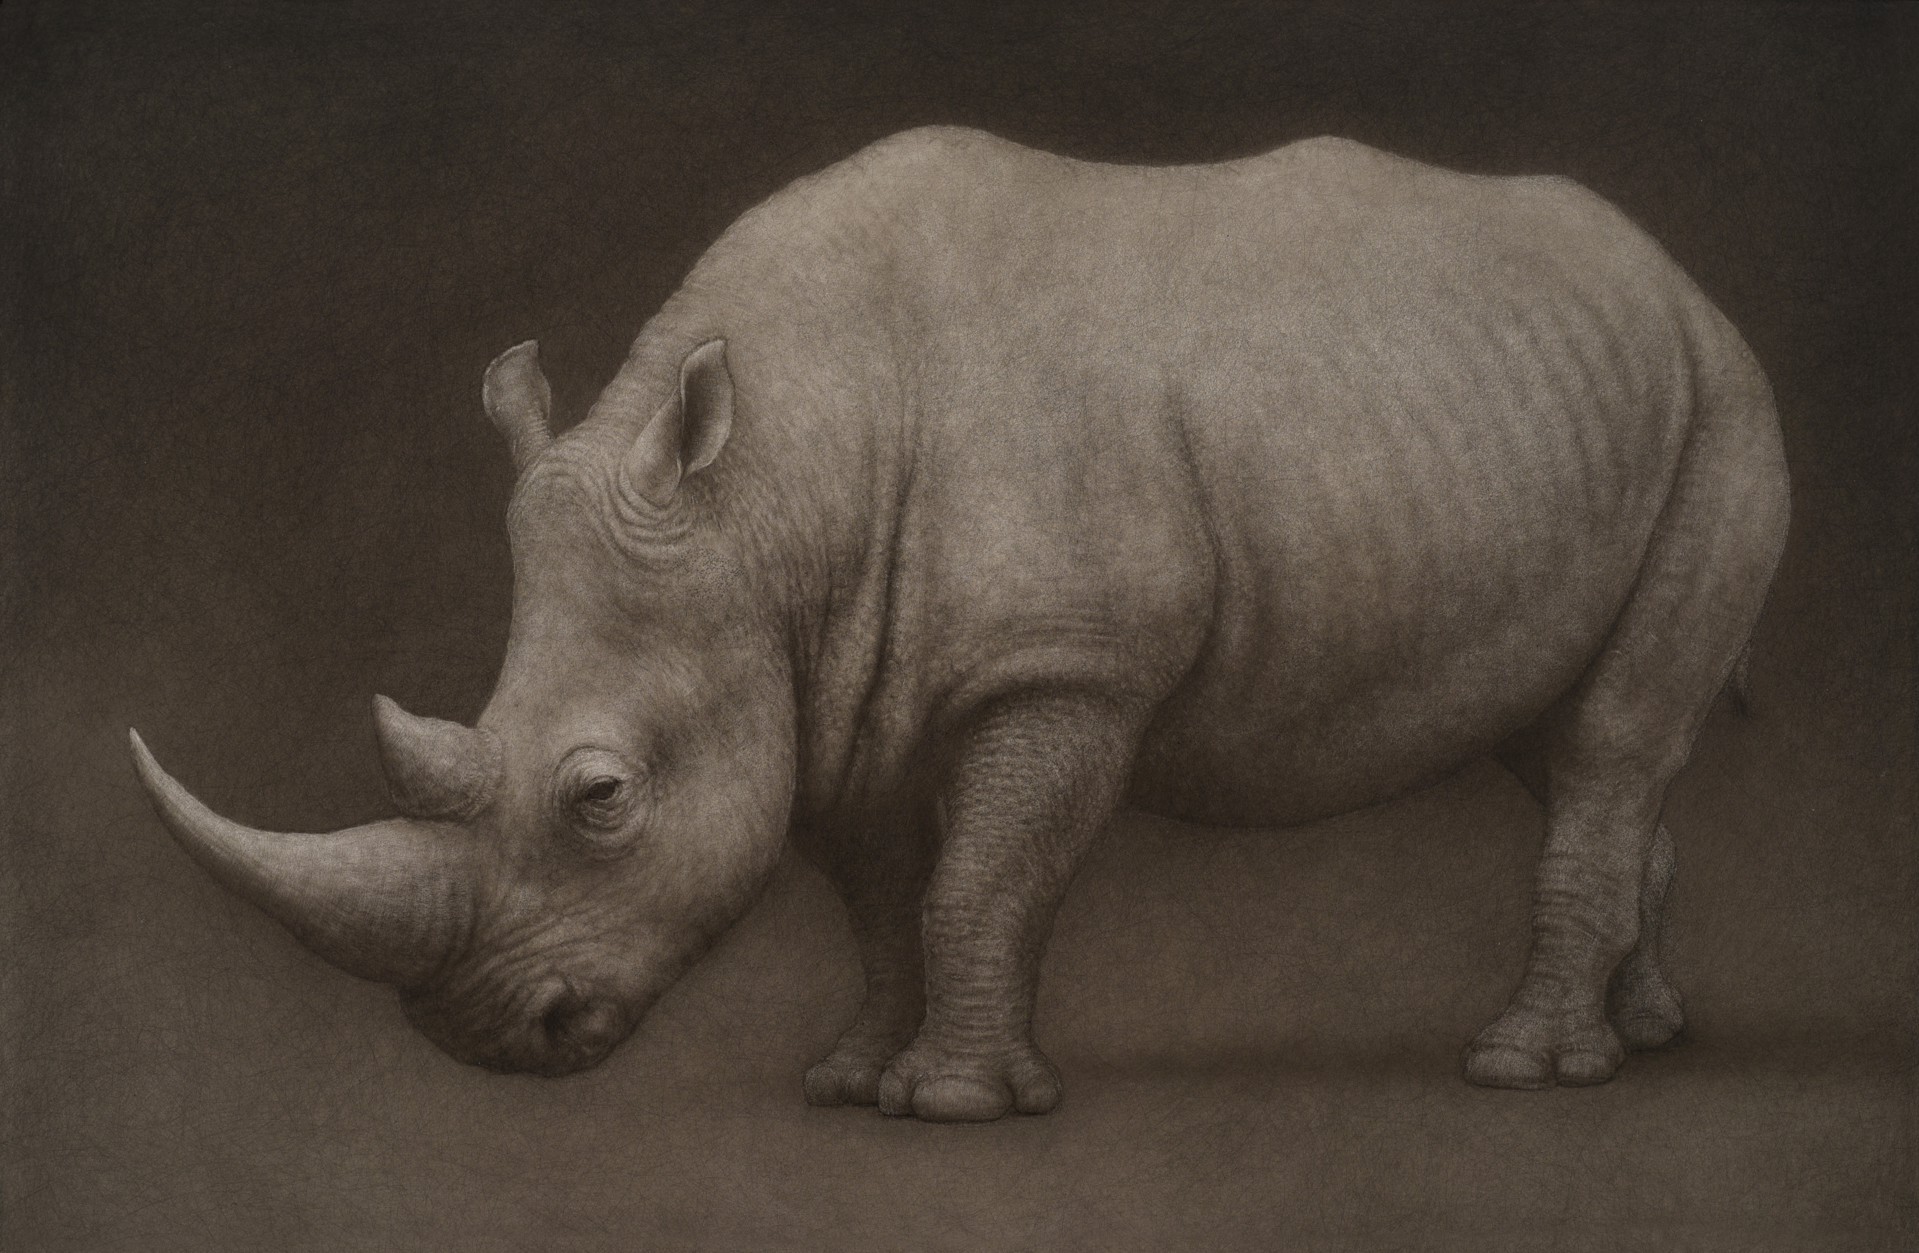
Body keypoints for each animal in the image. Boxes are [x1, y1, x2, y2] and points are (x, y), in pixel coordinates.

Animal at [130, 127, 1789, 1122]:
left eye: (599, 797)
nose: (478, 1039)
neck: (769, 489)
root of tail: (1674, 278)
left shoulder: (1065, 666)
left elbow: (978, 881)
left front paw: (953, 1106)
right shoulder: (823, 679)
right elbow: (878, 897)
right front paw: (848, 1081)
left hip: (1720, 404)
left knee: (1607, 739)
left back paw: (1522, 1069)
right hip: (1564, 412)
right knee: (1564, 738)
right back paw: (1646, 1038)